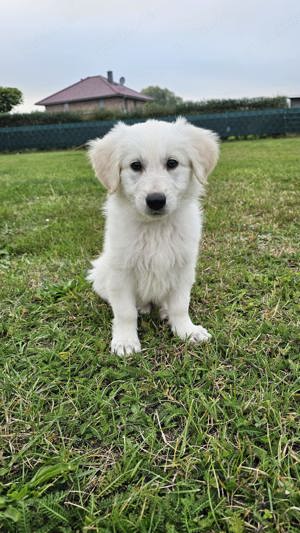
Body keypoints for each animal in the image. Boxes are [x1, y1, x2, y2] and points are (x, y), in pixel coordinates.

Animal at [86, 118, 218, 356]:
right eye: (136, 166)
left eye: (172, 163)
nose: (156, 200)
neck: (156, 228)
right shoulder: (120, 273)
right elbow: (125, 312)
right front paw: (126, 341)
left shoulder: (183, 269)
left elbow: (180, 305)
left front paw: (187, 331)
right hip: (100, 274)